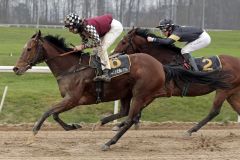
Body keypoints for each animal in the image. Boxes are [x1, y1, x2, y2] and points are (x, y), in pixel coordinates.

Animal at [13, 30, 229, 151]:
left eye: (29, 49)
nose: (16, 68)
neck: (71, 67)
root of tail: (160, 65)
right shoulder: (72, 99)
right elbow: (55, 114)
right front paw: (72, 126)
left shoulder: (73, 98)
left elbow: (48, 111)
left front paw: (32, 135)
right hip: (128, 93)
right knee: (125, 112)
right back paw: (101, 124)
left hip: (141, 93)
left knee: (131, 117)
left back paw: (109, 142)